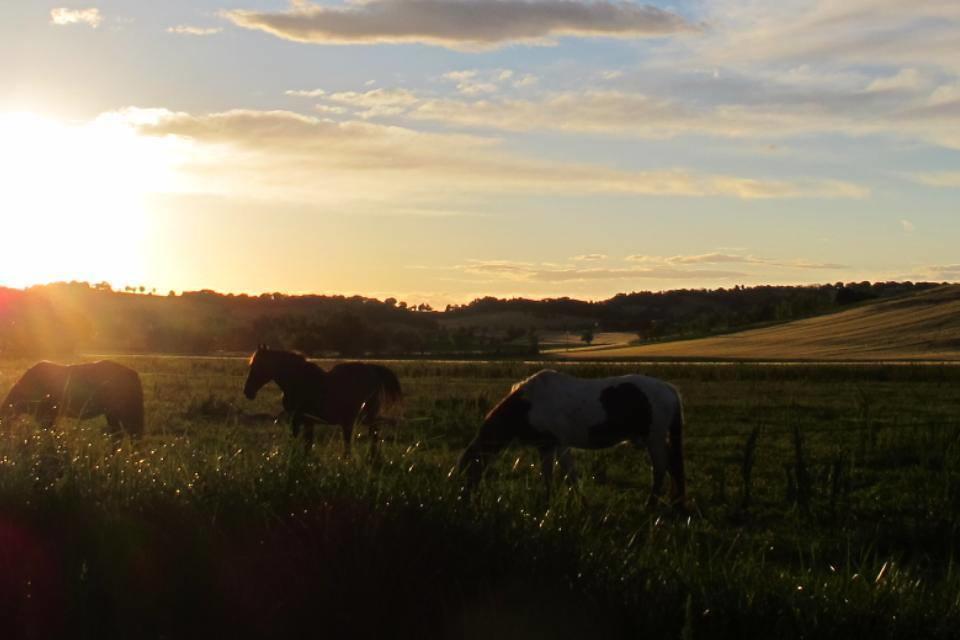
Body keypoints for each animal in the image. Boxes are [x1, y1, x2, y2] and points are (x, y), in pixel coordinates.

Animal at [244, 344, 404, 456]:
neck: (298, 380)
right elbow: (308, 443)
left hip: (364, 416)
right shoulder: (307, 420)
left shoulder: (297, 419)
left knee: (372, 433)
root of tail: (373, 370)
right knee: (372, 433)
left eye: (258, 365)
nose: (248, 392)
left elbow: (297, 440)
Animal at [458, 368, 684, 508]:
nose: (464, 499)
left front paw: (581, 504)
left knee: (660, 468)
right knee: (672, 466)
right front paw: (547, 503)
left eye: (470, 468)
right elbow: (548, 476)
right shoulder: (547, 447)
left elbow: (570, 476)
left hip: (654, 439)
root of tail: (668, 388)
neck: (530, 404)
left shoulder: (560, 445)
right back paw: (675, 502)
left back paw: (651, 504)